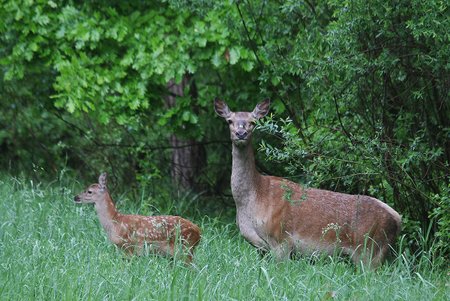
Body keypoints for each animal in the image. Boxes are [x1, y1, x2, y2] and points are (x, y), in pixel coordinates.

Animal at [214, 99, 400, 268]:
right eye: (229, 120)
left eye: (253, 122)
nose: (241, 133)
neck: (253, 199)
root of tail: (398, 218)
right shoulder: (261, 248)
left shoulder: (281, 240)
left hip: (369, 249)